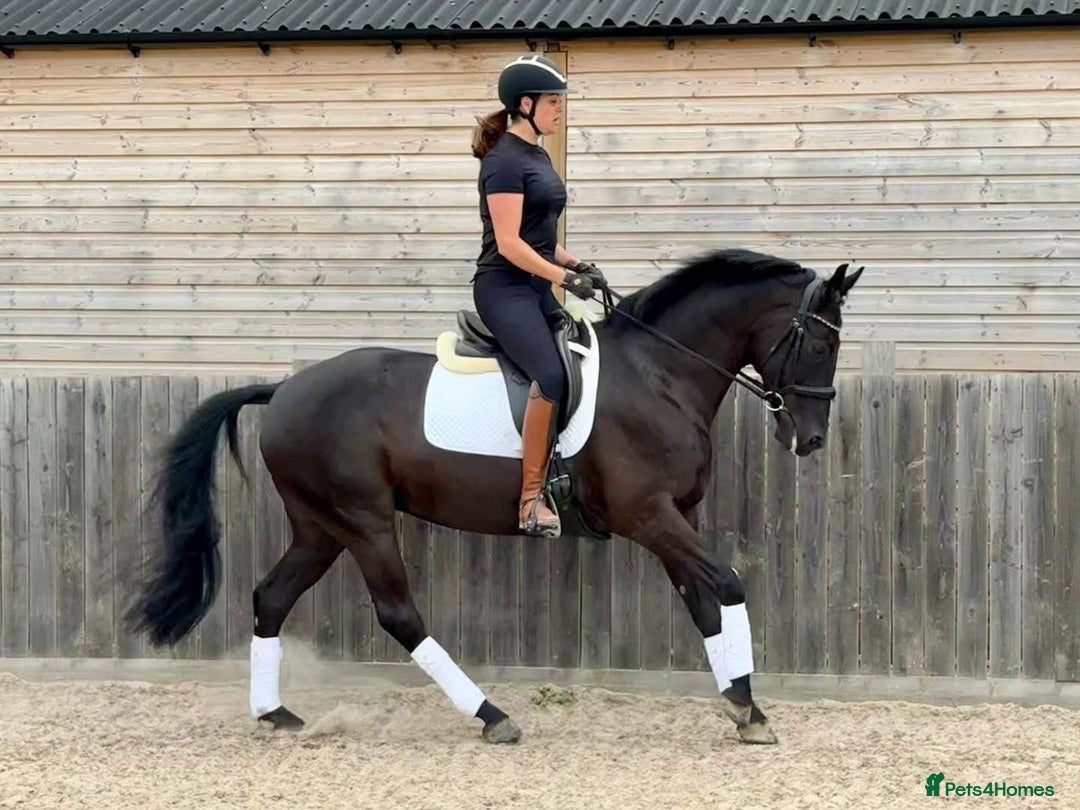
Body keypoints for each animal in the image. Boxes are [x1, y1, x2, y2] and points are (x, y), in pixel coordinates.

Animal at [126, 248, 863, 746]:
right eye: (819, 343)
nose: (810, 438)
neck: (661, 375)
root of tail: (283, 390)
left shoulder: (679, 516)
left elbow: (703, 601)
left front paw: (743, 707)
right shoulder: (649, 516)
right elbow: (729, 584)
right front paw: (751, 708)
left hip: (319, 526)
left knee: (271, 598)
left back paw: (275, 714)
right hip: (362, 520)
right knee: (399, 614)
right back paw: (492, 716)